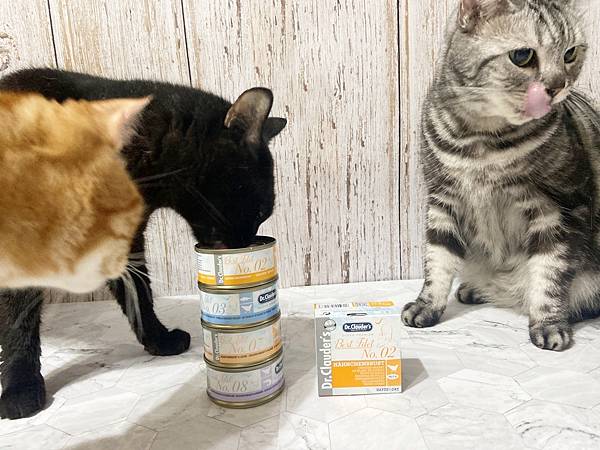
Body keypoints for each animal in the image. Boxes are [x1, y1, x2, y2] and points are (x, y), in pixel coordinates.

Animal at [401, 0, 600, 352]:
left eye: (570, 53)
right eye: (522, 56)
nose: (558, 86)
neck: (482, 140)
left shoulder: (560, 208)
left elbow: (549, 274)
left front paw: (548, 324)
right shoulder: (442, 200)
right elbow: (437, 262)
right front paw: (427, 306)